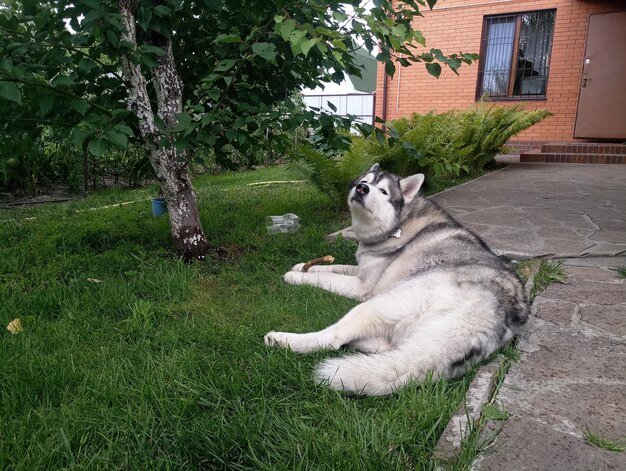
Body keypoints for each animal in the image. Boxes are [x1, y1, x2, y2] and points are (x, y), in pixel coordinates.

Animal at [264, 164, 528, 396]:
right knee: (386, 347)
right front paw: (303, 266)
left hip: (377, 304)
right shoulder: (361, 269)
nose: (361, 188)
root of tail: (492, 311)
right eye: (366, 180)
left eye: (383, 191)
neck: (399, 224)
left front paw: (295, 275)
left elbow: (325, 277)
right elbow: (334, 267)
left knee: (332, 339)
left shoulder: (363, 288)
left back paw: (283, 340)